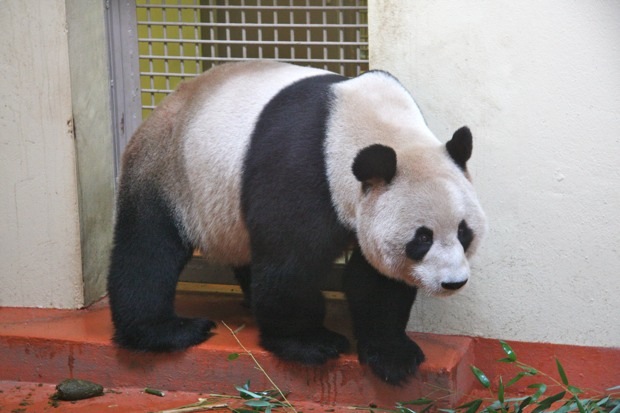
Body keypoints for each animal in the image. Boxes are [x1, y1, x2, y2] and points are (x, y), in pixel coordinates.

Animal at [108, 60, 490, 384]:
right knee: (148, 248)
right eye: (422, 239)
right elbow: (291, 264)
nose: (453, 282)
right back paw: (167, 330)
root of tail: (164, 105)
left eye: (464, 232)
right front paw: (310, 343)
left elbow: (377, 281)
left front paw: (393, 355)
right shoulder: (302, 168)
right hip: (170, 172)